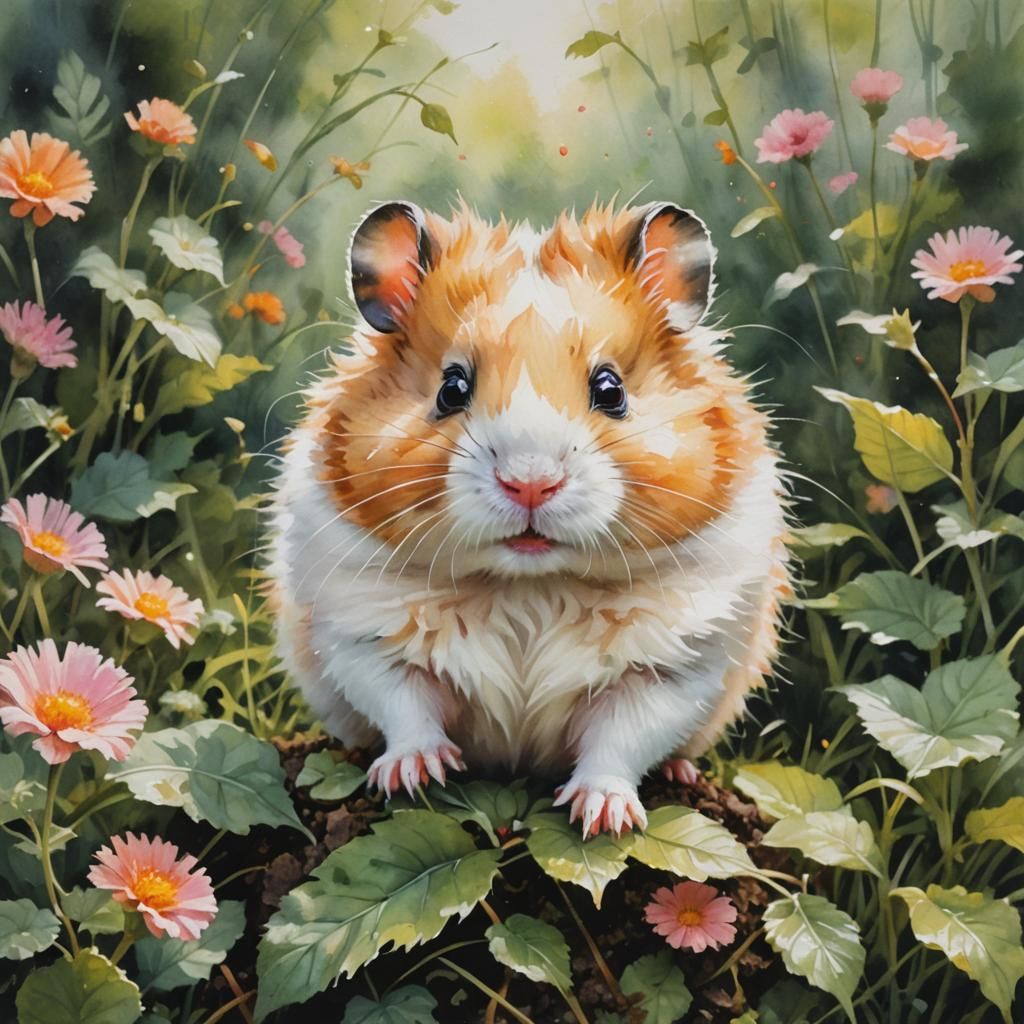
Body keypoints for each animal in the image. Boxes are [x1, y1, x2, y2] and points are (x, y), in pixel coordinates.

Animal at [268, 199, 791, 837]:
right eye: (451, 388)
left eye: (610, 389)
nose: (531, 483)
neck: (529, 588)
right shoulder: (363, 641)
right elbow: (406, 708)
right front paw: (414, 775)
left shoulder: (674, 669)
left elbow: (621, 740)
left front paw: (604, 817)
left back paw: (679, 773)